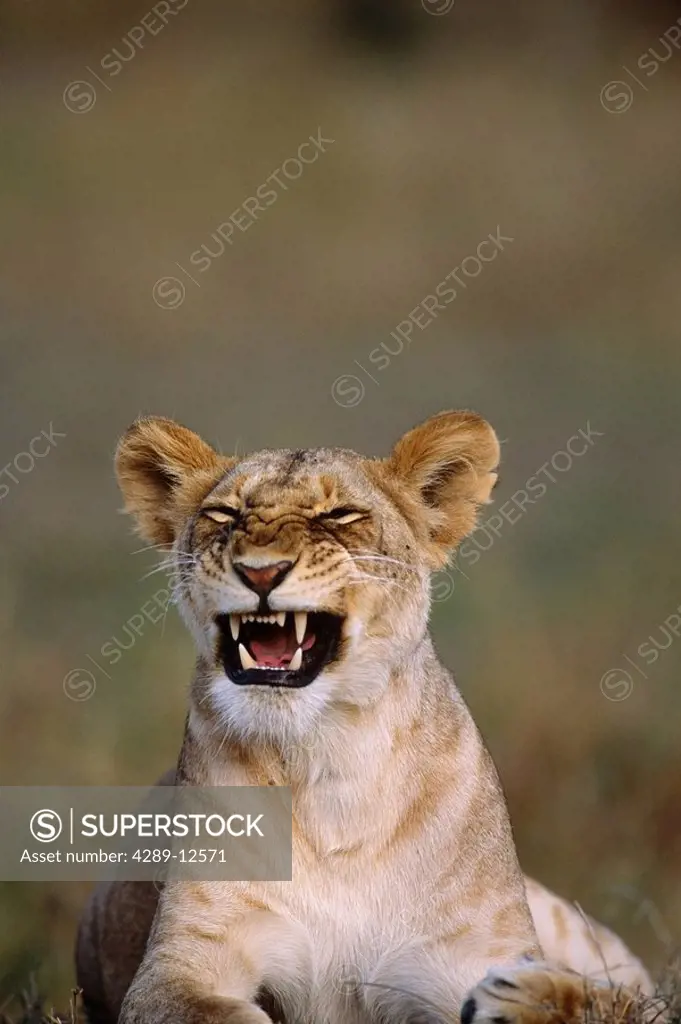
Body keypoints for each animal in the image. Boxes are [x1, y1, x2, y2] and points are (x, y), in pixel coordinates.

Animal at [76, 409, 655, 1024]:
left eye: (340, 515)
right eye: (224, 514)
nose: (260, 573)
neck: (328, 759)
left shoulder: (460, 952)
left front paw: (526, 994)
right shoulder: (179, 963)